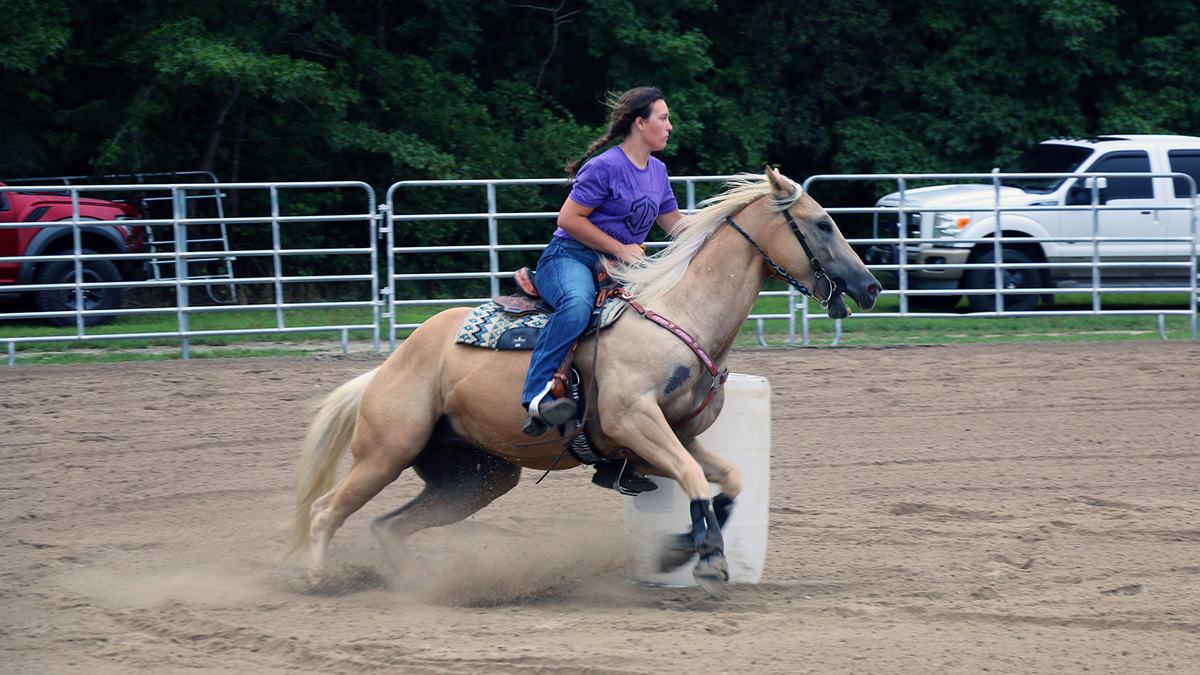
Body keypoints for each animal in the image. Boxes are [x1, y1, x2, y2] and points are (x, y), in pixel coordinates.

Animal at [289, 166, 881, 596]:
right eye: (822, 222)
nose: (872, 287)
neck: (682, 316)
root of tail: (388, 366)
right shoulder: (633, 421)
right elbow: (694, 477)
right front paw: (707, 560)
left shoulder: (669, 437)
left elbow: (728, 479)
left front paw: (679, 548)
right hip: (386, 452)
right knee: (325, 512)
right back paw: (319, 580)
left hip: (476, 478)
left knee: (389, 526)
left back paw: (415, 582)